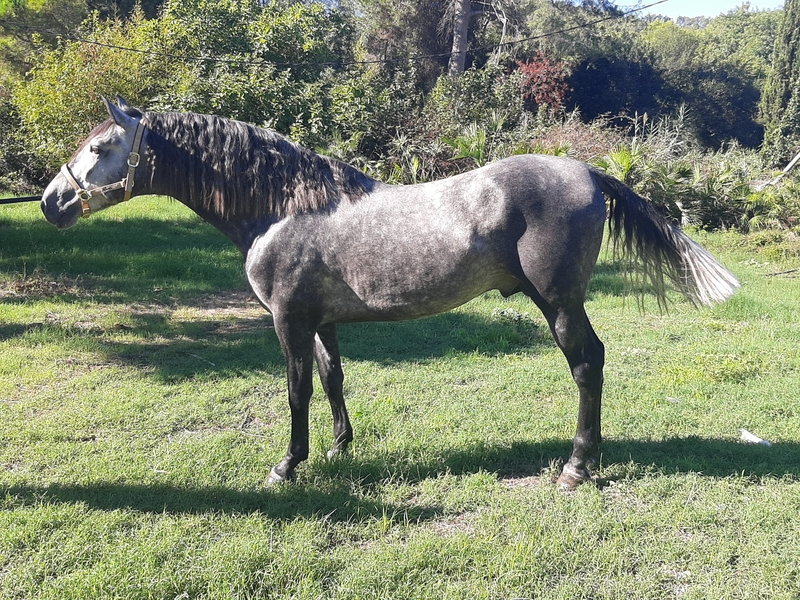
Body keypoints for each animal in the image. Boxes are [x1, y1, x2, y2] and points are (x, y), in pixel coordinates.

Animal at [40, 97, 739, 489]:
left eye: (101, 146)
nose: (51, 201)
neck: (283, 208)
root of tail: (589, 171)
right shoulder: (321, 320)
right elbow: (332, 380)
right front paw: (340, 448)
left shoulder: (288, 321)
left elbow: (295, 393)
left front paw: (288, 466)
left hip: (560, 305)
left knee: (587, 364)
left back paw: (576, 468)